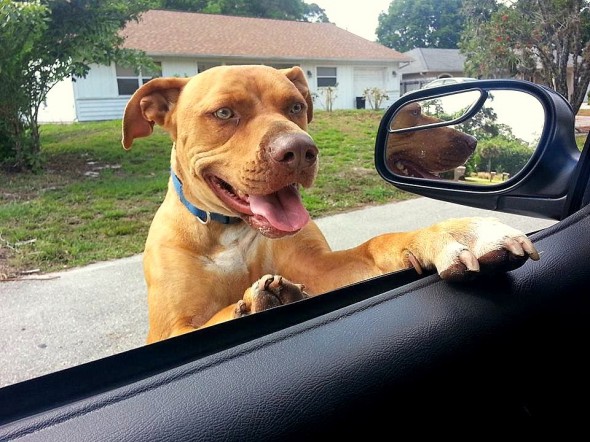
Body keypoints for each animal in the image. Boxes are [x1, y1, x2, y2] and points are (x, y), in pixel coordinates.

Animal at [121, 65, 540, 344]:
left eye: (294, 106)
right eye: (224, 113)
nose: (299, 150)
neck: (232, 229)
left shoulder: (320, 267)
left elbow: (377, 244)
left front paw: (451, 234)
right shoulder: (169, 328)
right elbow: (214, 318)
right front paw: (253, 302)